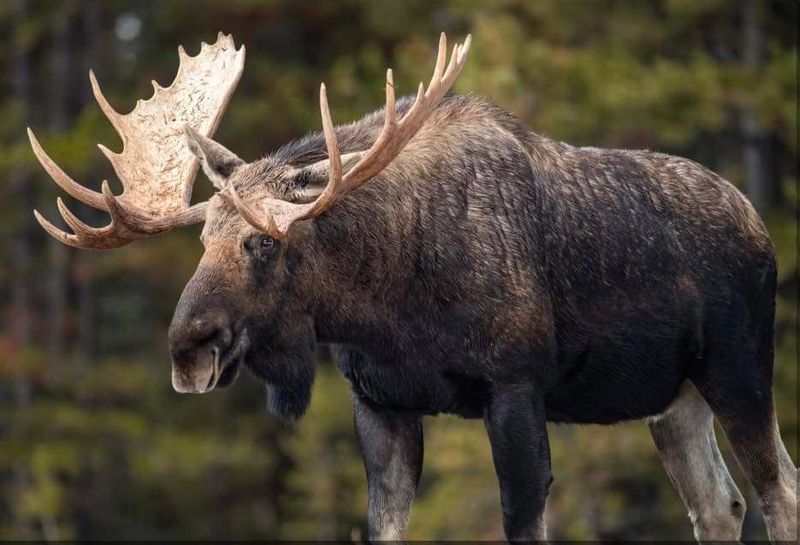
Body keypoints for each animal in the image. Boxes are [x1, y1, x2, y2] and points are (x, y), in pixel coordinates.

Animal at [27, 32, 797, 542]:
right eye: (202, 238)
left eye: (264, 241)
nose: (189, 345)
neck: (386, 304)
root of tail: (760, 227)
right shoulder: (381, 403)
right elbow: (383, 525)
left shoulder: (515, 387)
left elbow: (523, 520)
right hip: (672, 400)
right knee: (720, 503)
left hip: (738, 369)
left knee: (779, 488)